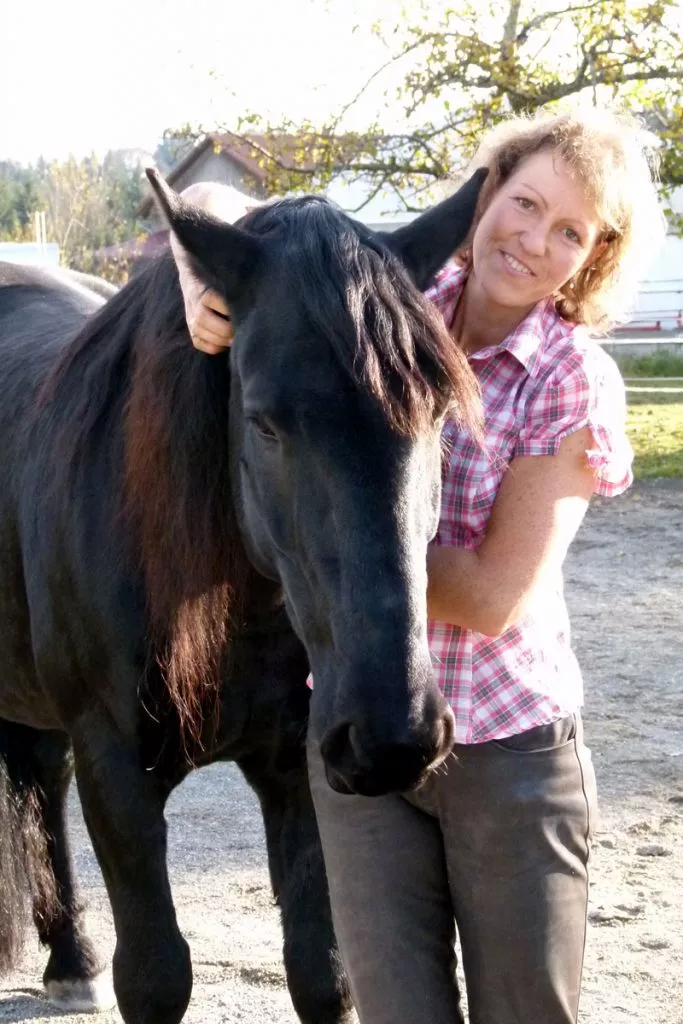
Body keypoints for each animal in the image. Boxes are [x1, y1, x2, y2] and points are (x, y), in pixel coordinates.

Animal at [0, 167, 485, 1024]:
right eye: (263, 422)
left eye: (438, 414)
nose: (394, 733)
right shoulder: (116, 770)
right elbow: (156, 975)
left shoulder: (299, 765)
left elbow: (322, 972)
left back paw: (70, 955)